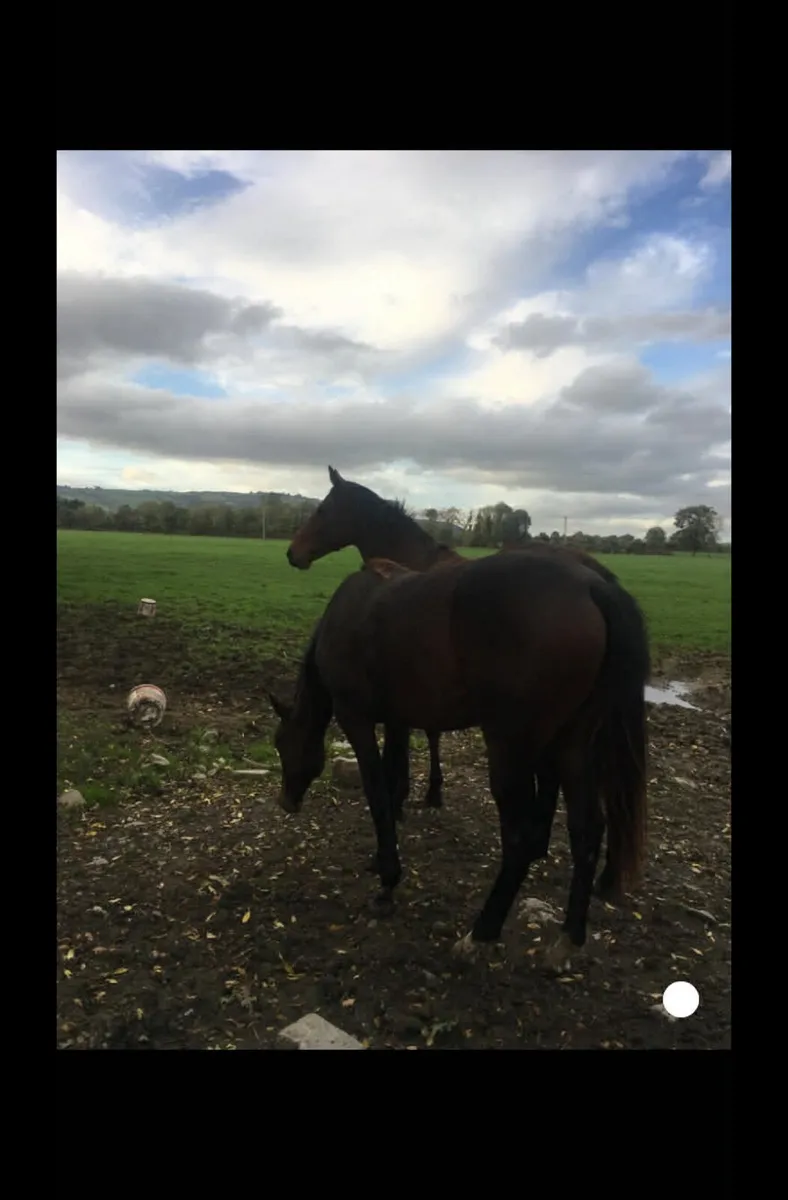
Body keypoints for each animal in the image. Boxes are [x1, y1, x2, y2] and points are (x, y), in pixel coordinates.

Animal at [267, 550, 649, 967]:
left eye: (280, 742)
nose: (285, 800)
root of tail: (592, 586)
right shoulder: (398, 720)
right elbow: (393, 780)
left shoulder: (357, 718)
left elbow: (378, 793)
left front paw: (387, 881)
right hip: (571, 745)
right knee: (587, 831)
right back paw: (569, 938)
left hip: (510, 749)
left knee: (519, 838)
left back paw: (482, 933)